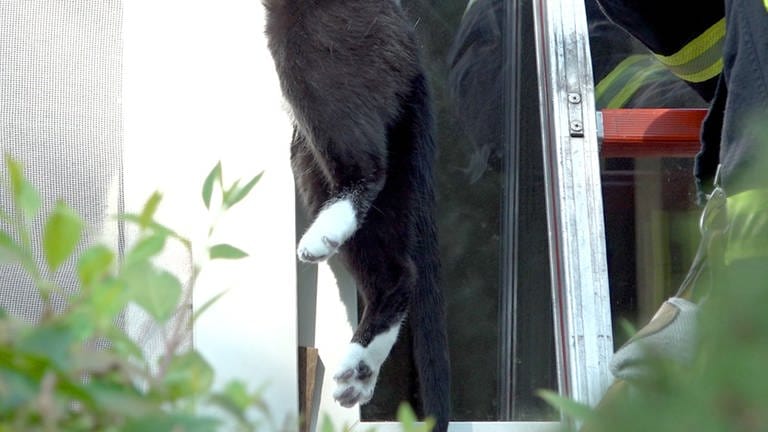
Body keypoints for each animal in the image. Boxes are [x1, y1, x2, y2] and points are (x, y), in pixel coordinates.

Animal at [262, 0, 450, 426]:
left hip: (319, 45)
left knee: (367, 164)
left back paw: (325, 232)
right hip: (314, 157)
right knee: (398, 273)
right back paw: (360, 371)